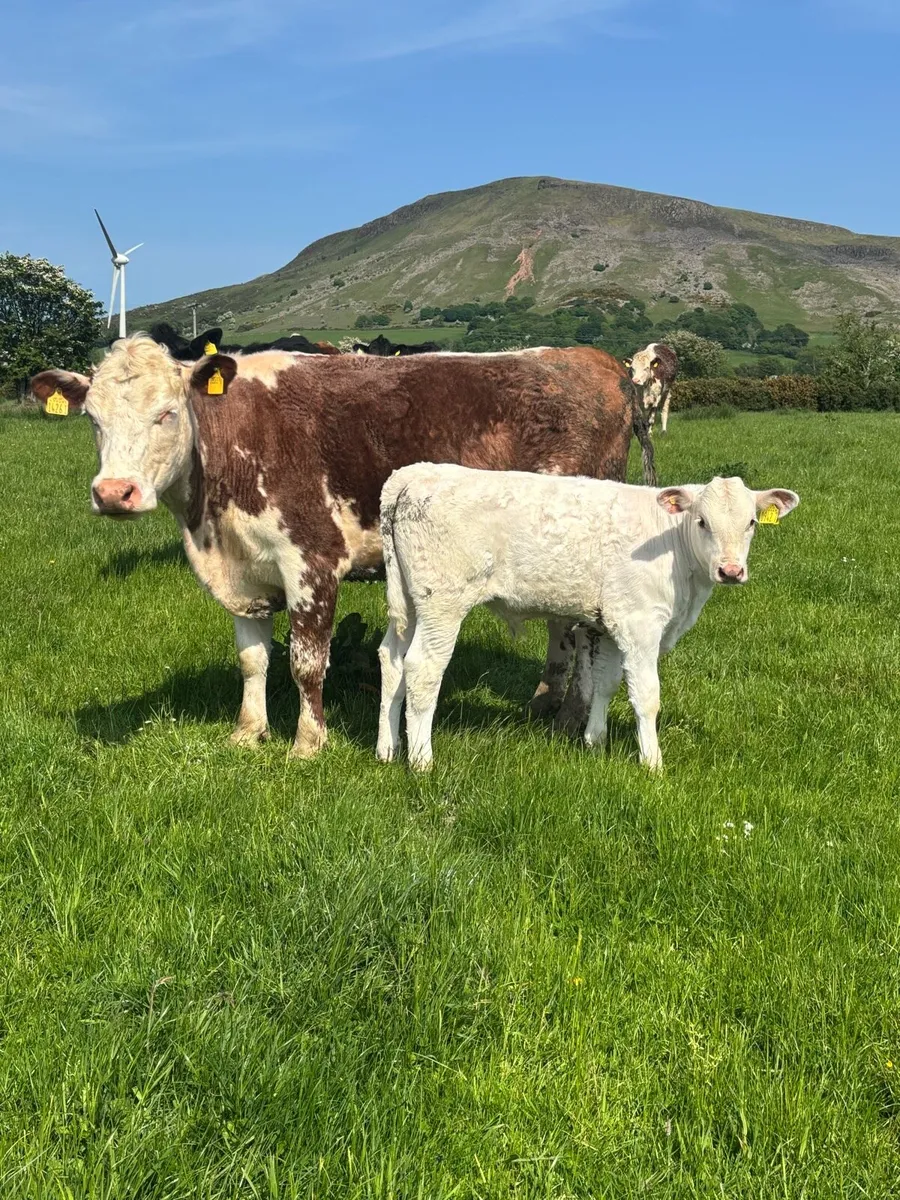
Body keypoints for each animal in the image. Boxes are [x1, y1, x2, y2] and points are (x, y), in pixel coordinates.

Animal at [31, 339, 653, 757]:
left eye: (166, 413)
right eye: (92, 419)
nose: (115, 493)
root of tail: (590, 358)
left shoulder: (312, 559)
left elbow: (306, 661)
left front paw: (308, 741)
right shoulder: (246, 572)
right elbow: (253, 659)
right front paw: (248, 732)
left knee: (582, 635)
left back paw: (571, 716)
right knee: (562, 629)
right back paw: (547, 703)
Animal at [376, 465, 799, 772]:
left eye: (751, 523)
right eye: (702, 522)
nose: (731, 571)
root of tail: (416, 473)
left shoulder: (611, 625)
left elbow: (606, 684)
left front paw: (595, 742)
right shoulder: (640, 624)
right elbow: (646, 696)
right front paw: (652, 763)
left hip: (410, 603)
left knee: (391, 660)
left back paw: (387, 748)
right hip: (441, 603)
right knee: (423, 668)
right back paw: (421, 761)